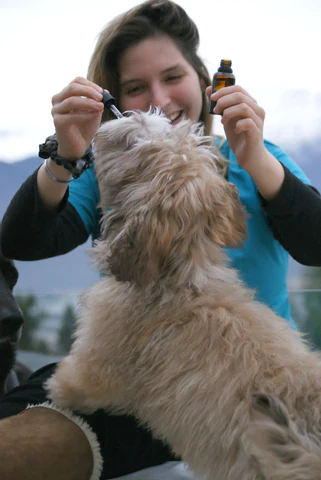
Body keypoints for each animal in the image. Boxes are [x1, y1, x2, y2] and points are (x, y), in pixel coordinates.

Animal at [46, 109, 320, 480]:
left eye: (133, 142)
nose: (121, 117)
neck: (183, 278)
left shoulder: (99, 360)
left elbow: (79, 383)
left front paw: (57, 387)